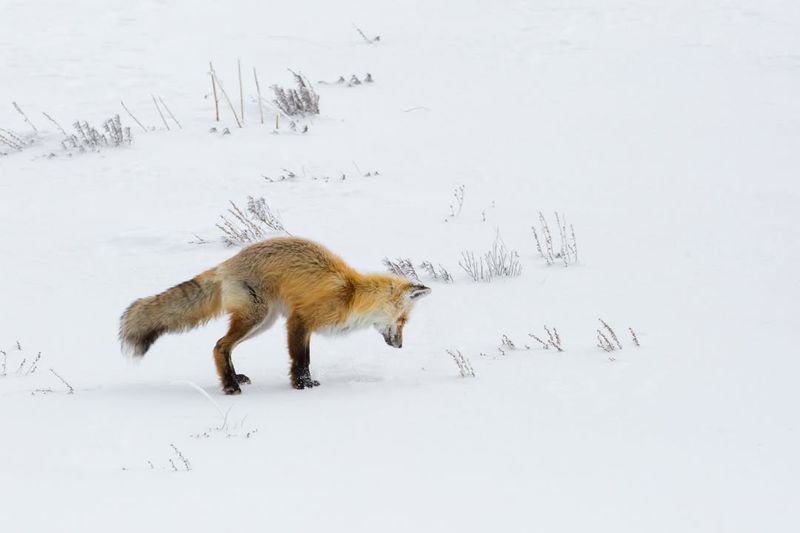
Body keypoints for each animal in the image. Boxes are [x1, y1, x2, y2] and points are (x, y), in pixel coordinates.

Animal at [119, 237, 431, 394]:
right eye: (403, 321)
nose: (400, 345)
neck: (351, 294)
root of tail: (226, 264)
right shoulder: (300, 320)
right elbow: (301, 360)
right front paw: (302, 386)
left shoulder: (300, 324)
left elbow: (304, 358)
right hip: (256, 317)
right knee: (219, 345)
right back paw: (230, 386)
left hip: (263, 322)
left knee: (225, 347)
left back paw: (234, 378)